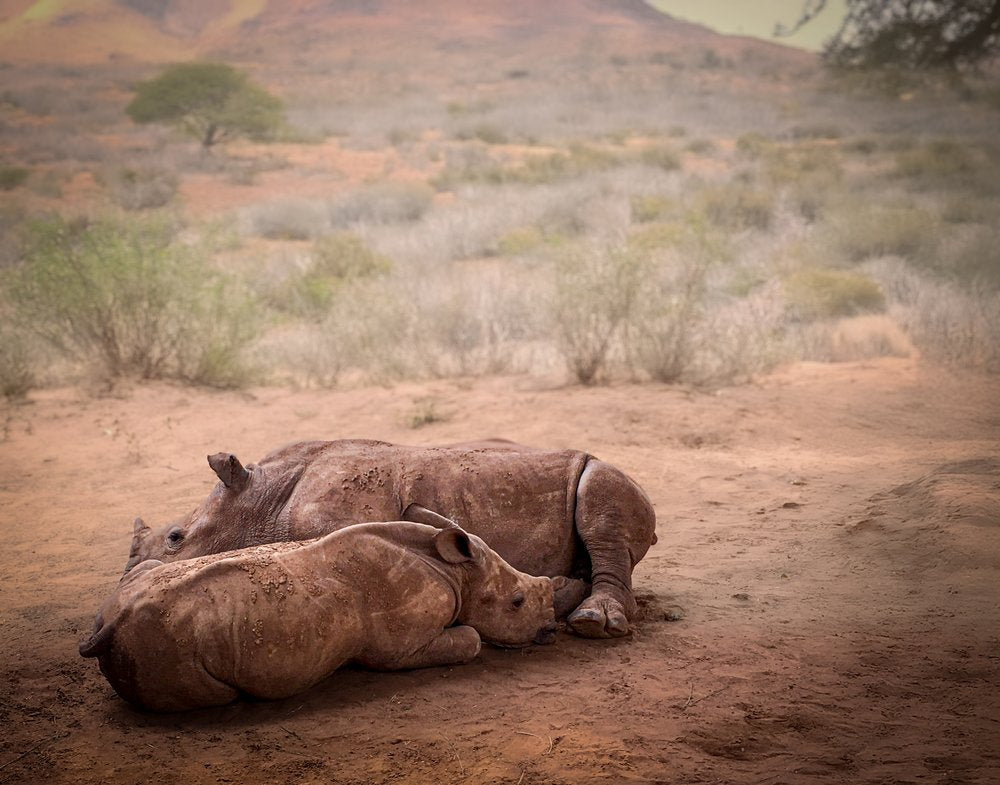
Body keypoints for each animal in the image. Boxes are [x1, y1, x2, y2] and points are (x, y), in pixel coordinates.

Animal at [81, 520, 563, 712]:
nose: (550, 630)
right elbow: (472, 639)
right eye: (517, 602)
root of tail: (109, 627)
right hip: (164, 641)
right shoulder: (402, 648)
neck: (457, 572)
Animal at [126, 439, 657, 638]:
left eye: (175, 538)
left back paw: (592, 623)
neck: (262, 502)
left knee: (601, 497)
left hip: (604, 473)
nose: (129, 577)